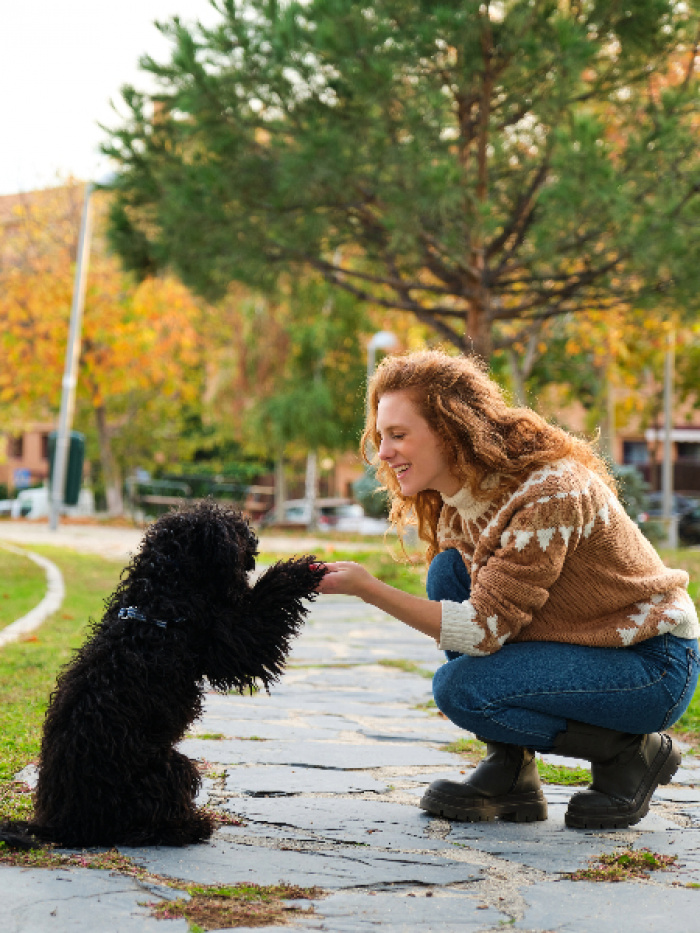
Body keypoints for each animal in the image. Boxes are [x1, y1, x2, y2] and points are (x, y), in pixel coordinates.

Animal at [0, 498, 322, 848]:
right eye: (234, 528)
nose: (253, 540)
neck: (160, 594)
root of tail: (61, 826)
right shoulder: (230, 642)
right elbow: (262, 613)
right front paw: (297, 571)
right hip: (167, 767)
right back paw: (190, 827)